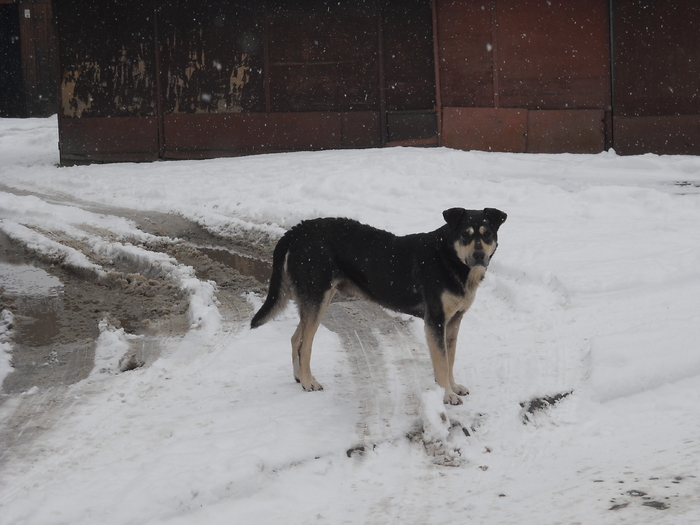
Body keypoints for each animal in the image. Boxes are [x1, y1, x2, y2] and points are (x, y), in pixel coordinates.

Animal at [252, 207, 508, 404]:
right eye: (465, 235)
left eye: (487, 234)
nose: (479, 256)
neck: (449, 258)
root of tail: (296, 231)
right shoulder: (435, 320)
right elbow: (442, 363)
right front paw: (447, 395)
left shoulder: (454, 320)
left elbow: (450, 359)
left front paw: (453, 387)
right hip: (317, 296)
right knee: (305, 343)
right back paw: (308, 382)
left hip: (316, 299)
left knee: (296, 338)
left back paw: (298, 378)